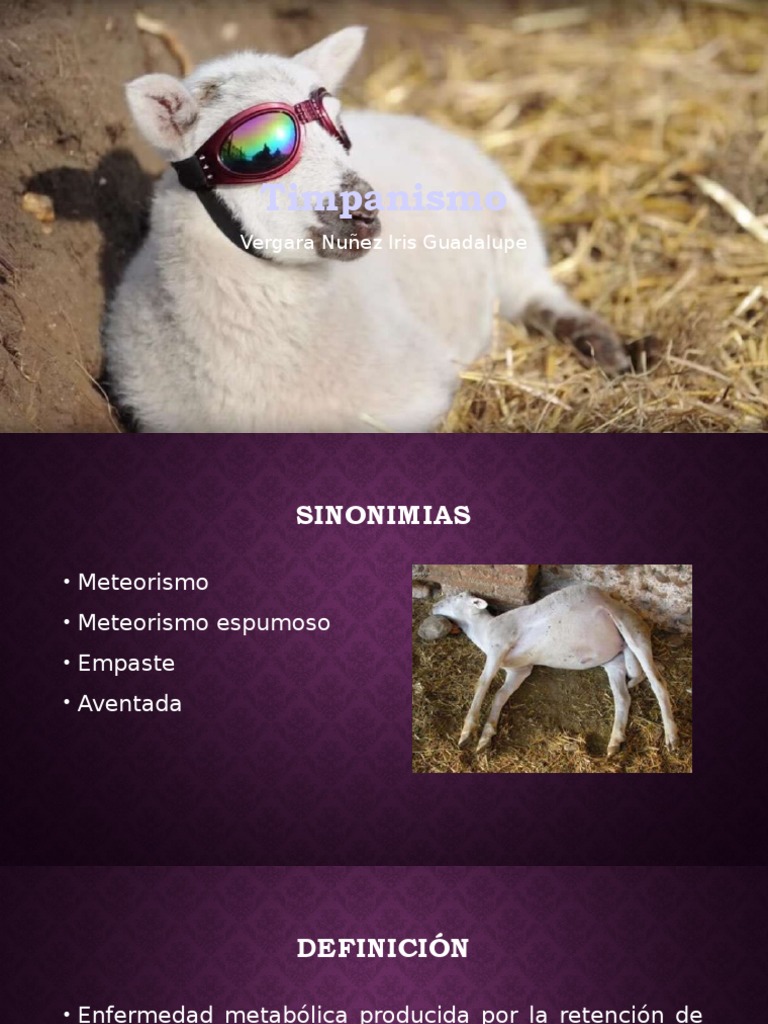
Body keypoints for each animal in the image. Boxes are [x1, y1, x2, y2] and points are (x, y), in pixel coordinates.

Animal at [103, 26, 632, 432]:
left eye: (339, 129)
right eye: (258, 150)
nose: (364, 209)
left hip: (511, 227)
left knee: (536, 291)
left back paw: (602, 346)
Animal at [431, 584, 679, 756]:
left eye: (458, 597)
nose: (434, 606)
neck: (483, 630)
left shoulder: (499, 645)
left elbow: (482, 683)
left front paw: (467, 732)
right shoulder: (520, 670)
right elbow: (500, 695)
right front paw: (486, 737)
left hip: (632, 631)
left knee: (658, 683)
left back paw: (672, 737)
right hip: (615, 662)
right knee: (623, 697)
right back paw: (615, 742)